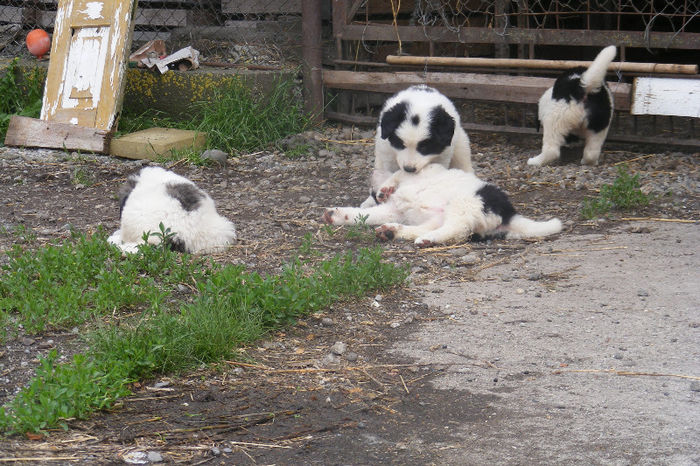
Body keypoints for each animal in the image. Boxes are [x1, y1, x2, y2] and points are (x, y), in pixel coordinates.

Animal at [326, 162, 560, 248]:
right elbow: (364, 215)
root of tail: (508, 214)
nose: (375, 194)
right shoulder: (392, 210)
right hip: (439, 217)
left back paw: (426, 238)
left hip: (464, 203)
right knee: (429, 229)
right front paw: (337, 215)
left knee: (457, 231)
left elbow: (398, 173)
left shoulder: (427, 169)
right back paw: (393, 232)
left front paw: (386, 188)